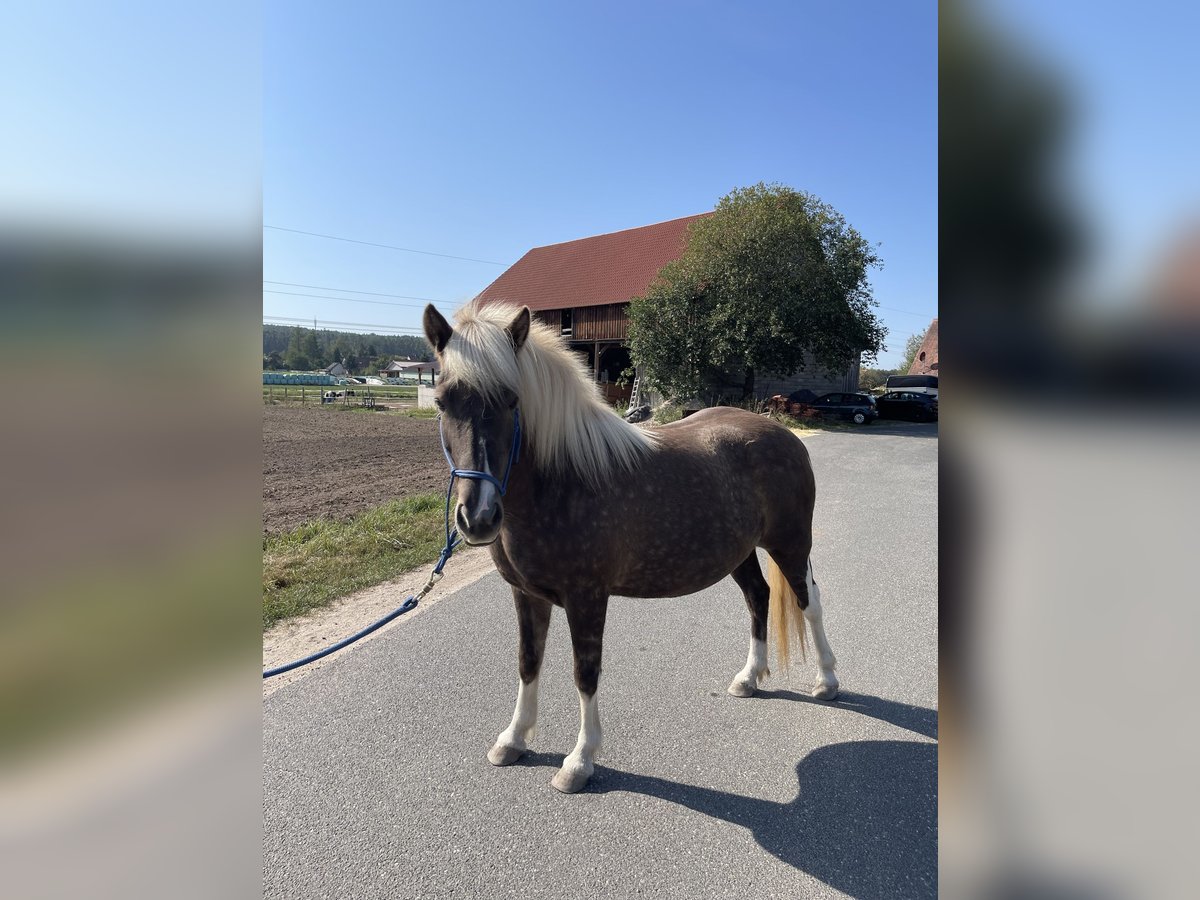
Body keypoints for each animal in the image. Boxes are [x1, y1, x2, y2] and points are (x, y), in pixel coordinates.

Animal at [427, 304, 840, 796]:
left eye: (511, 400)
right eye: (441, 402)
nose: (479, 517)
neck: (561, 480)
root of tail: (785, 434)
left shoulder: (587, 599)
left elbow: (585, 673)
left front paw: (579, 761)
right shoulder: (525, 595)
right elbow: (528, 662)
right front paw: (513, 739)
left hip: (790, 543)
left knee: (809, 603)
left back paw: (827, 681)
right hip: (740, 552)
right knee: (759, 598)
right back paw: (749, 678)